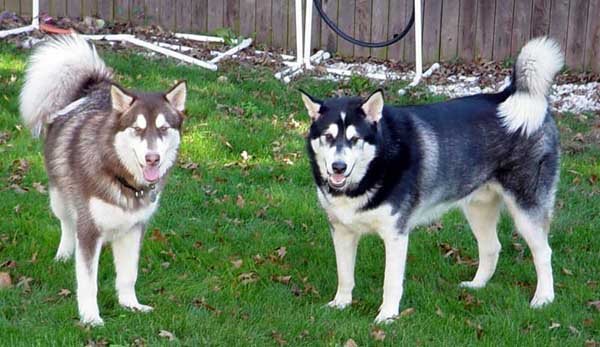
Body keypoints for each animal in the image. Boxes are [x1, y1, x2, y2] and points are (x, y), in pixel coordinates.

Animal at [19, 35, 186, 326]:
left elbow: (129, 274)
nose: (152, 158)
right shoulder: (89, 229)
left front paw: (130, 304)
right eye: (137, 129)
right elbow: (88, 282)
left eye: (164, 128)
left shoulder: (134, 228)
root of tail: (94, 88)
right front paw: (90, 317)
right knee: (67, 224)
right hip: (59, 197)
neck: (121, 177)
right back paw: (63, 254)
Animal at [302, 38, 564, 324]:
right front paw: (341, 303)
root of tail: (512, 98)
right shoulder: (341, 230)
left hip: (526, 209)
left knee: (544, 252)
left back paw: (544, 298)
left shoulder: (396, 234)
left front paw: (388, 316)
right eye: (328, 136)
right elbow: (344, 275)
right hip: (478, 208)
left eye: (354, 139)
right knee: (492, 247)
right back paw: (477, 285)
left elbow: (391, 282)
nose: (338, 167)